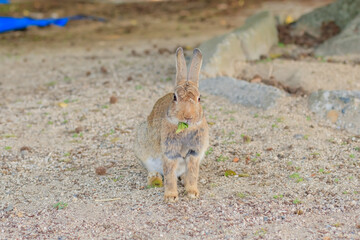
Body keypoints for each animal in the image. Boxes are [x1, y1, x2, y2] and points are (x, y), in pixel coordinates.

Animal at [134, 47, 208, 202]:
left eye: (199, 98)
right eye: (175, 97)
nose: (188, 116)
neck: (184, 129)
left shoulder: (195, 153)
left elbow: (193, 173)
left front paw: (192, 192)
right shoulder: (169, 153)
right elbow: (169, 175)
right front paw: (171, 196)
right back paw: (154, 178)